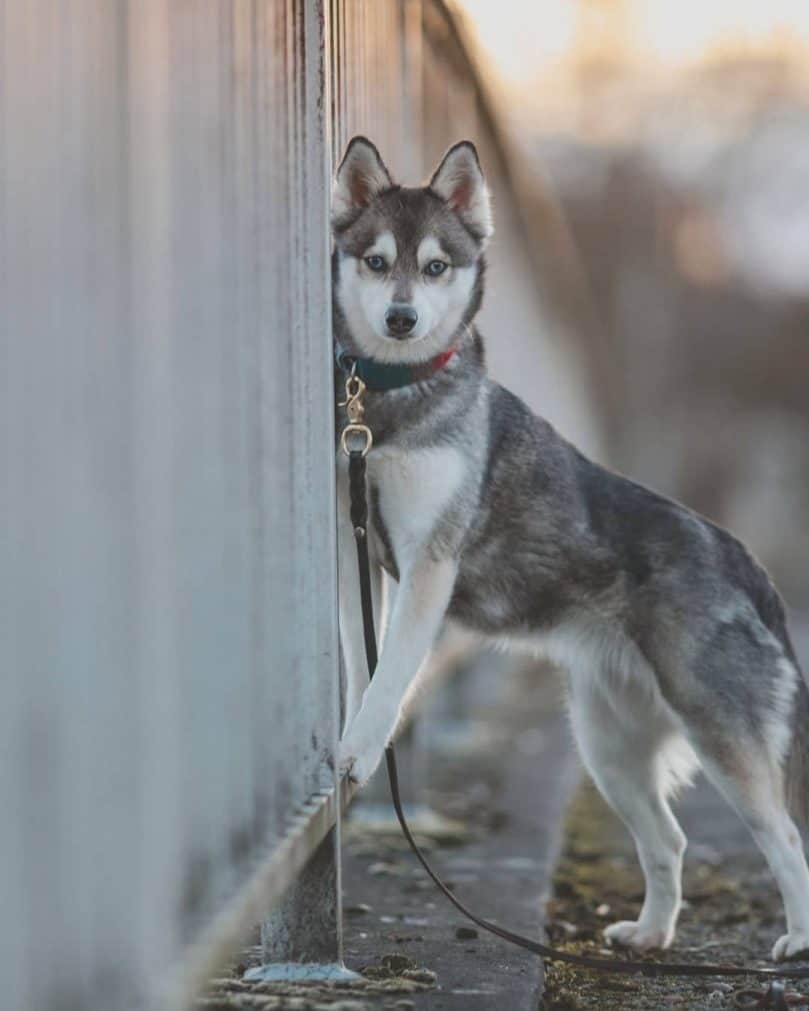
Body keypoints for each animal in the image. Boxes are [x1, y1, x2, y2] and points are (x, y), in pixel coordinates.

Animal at [329, 136, 809, 962]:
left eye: (435, 266)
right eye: (375, 260)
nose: (400, 317)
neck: (395, 398)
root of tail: (742, 561)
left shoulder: (428, 563)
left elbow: (392, 676)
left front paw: (365, 741)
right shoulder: (355, 542)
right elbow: (366, 663)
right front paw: (358, 734)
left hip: (722, 736)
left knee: (784, 836)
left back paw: (797, 939)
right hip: (607, 744)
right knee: (669, 840)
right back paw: (649, 933)